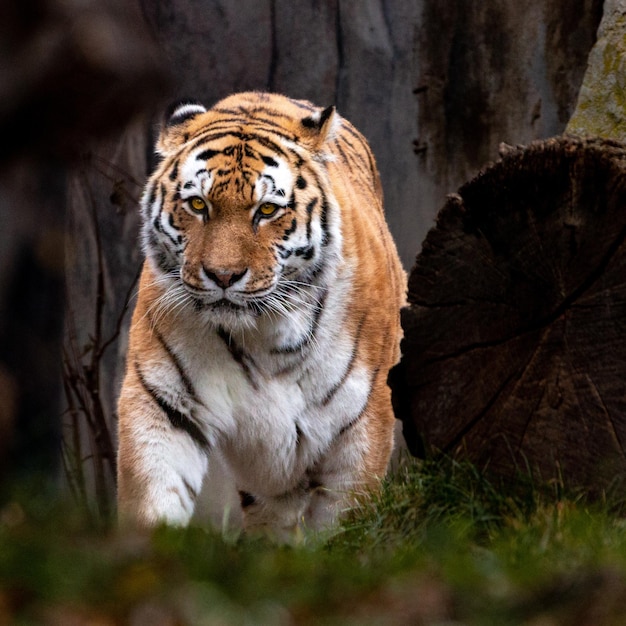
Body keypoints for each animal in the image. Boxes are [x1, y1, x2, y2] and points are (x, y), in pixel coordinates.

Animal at [116, 91, 404, 536]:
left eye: (267, 210)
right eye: (197, 204)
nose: (223, 275)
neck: (264, 336)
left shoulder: (361, 422)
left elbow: (343, 521)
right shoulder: (163, 401)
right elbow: (152, 496)